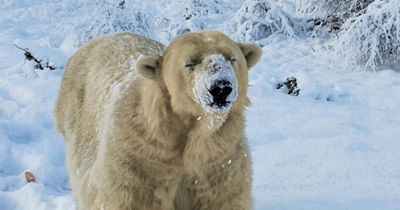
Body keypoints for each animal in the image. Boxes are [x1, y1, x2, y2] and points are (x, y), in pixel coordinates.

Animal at [55, 31, 262, 210]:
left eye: (231, 58)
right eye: (190, 63)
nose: (221, 88)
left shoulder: (219, 160)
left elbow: (222, 198)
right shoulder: (141, 159)